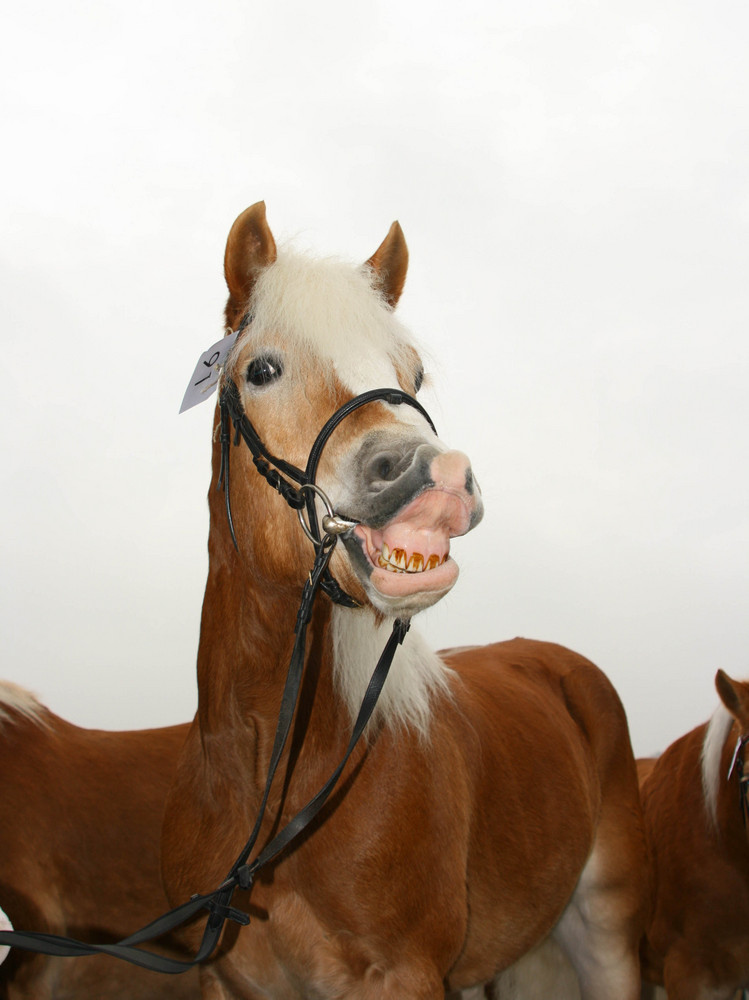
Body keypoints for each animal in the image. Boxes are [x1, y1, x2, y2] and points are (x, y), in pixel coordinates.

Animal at [159, 197, 648, 1000]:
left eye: (412, 372)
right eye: (262, 368)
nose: (436, 479)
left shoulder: (402, 976)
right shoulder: (227, 981)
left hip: (603, 931)